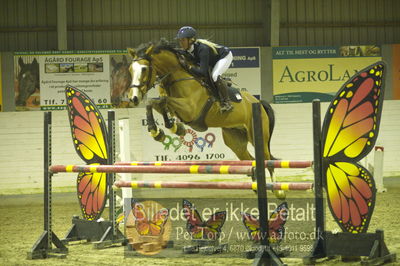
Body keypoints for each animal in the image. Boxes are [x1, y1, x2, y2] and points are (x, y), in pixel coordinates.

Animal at [126, 39, 282, 197]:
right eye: (130, 70)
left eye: (144, 69)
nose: (133, 98)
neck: (177, 76)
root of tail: (258, 102)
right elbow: (157, 103)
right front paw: (165, 130)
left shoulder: (190, 109)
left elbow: (161, 101)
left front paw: (159, 130)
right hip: (235, 140)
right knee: (251, 160)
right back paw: (256, 186)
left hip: (257, 136)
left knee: (267, 160)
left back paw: (278, 191)